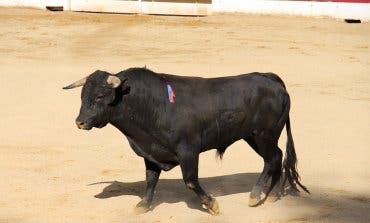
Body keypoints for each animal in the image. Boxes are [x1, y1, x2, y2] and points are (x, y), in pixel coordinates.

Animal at [64, 68, 310, 214]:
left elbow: (190, 180)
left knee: (272, 159)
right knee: (277, 157)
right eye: (82, 96)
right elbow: (150, 179)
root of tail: (270, 78)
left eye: (99, 96)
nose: (80, 122)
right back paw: (272, 195)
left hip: (264, 134)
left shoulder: (188, 151)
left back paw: (255, 195)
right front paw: (143, 205)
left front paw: (212, 204)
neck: (154, 105)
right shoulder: (151, 152)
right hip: (253, 136)